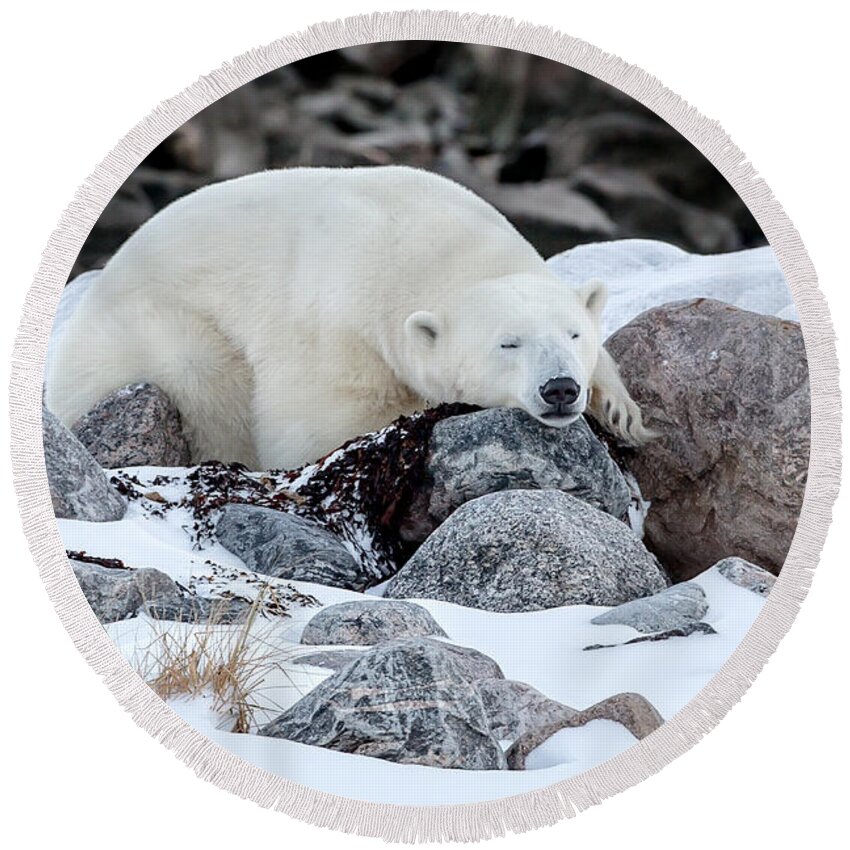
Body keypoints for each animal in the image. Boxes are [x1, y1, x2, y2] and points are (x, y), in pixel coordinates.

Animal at [48, 166, 648, 470]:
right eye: (508, 343)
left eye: (573, 333)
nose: (560, 388)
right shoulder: (337, 322)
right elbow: (318, 424)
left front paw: (620, 409)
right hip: (153, 328)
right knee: (209, 385)